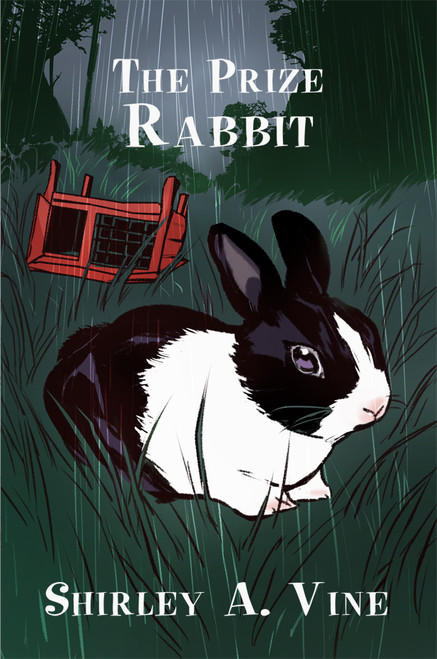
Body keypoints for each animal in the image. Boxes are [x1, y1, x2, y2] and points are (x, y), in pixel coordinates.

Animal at [44, 210, 390, 518]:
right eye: (305, 359)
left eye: (369, 331)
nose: (376, 406)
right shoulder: (205, 467)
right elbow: (237, 488)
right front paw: (275, 506)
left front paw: (317, 492)